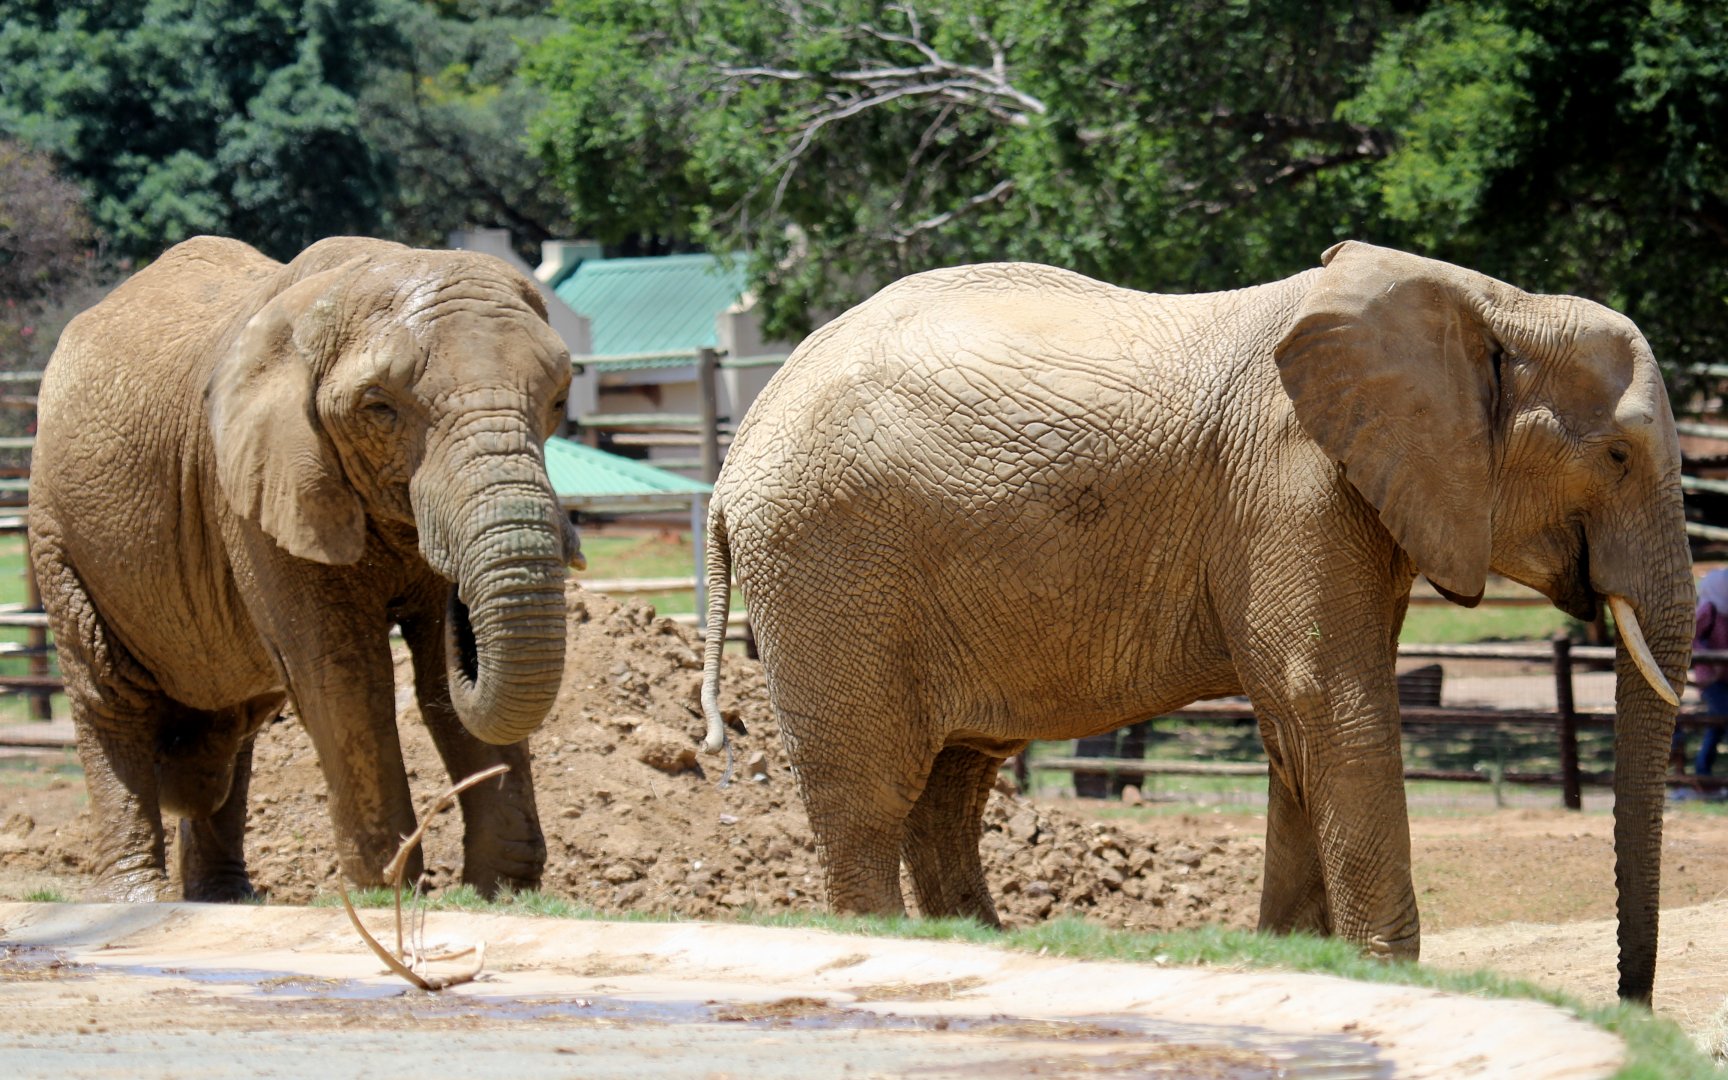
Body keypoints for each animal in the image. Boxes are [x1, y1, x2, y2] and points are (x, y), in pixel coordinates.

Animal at [28, 235, 580, 903]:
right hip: (57, 529)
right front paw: (384, 893)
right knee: (109, 696)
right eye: (379, 408)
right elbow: (344, 674)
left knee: (235, 723)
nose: (460, 613)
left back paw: (224, 900)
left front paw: (496, 893)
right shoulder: (256, 491)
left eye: (558, 400)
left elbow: (433, 682)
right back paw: (138, 899)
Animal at [699, 241, 1691, 1003]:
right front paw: (1384, 980)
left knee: (949, 789)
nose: (1633, 1004)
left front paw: (1304, 966)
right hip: (829, 570)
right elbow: (1334, 709)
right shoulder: (1293, 485)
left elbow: (1302, 733)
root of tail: (734, 456)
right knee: (868, 803)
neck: (1490, 302)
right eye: (1616, 455)